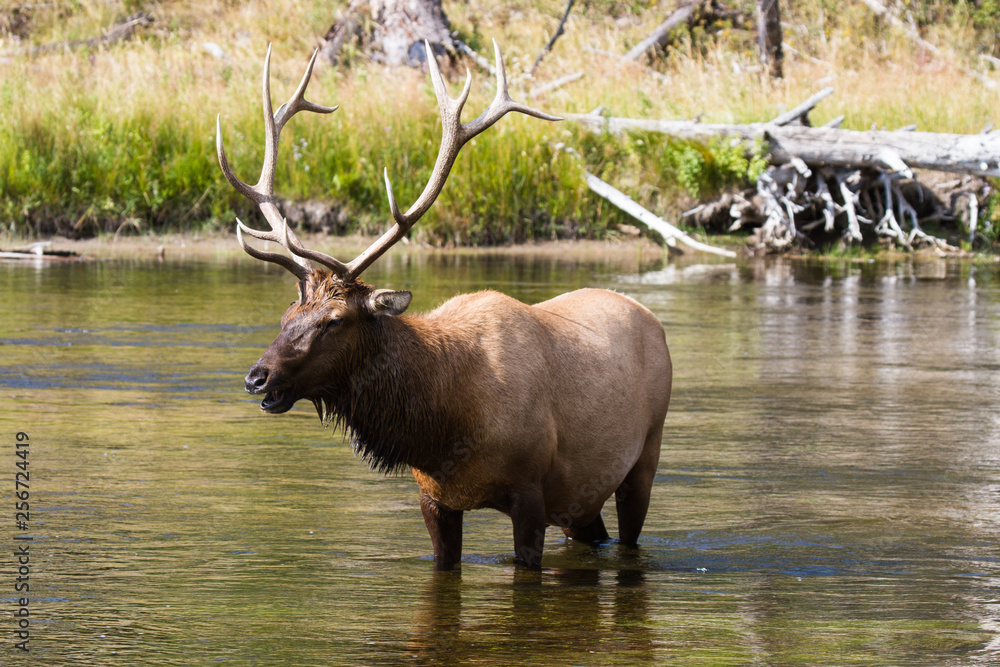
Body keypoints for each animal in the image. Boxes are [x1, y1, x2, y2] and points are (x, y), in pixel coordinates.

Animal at [216, 41, 672, 570]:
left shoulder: (531, 491)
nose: (256, 377)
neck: (444, 424)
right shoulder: (433, 498)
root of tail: (651, 319)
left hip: (644, 458)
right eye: (287, 316)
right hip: (581, 497)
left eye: (334, 321)